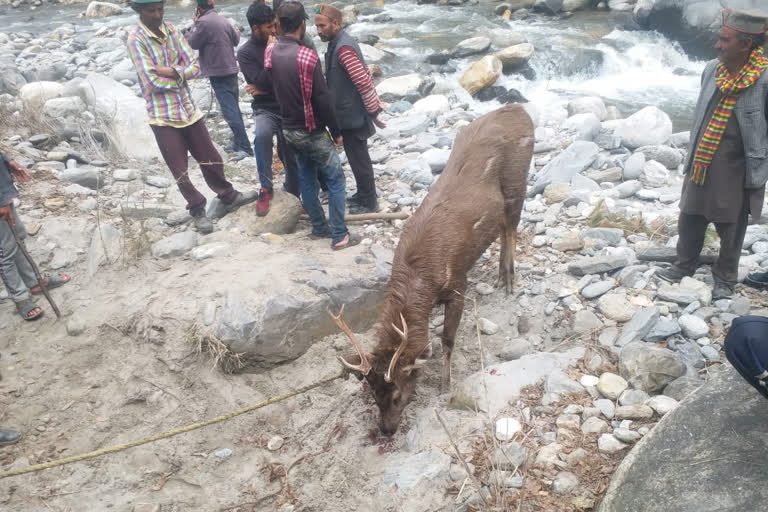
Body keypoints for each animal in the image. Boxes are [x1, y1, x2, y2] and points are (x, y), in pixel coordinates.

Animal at [330, 104, 536, 436]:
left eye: (397, 394)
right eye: (372, 394)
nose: (387, 430)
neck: (421, 278)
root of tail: (516, 108)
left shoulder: (458, 284)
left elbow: (447, 340)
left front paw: (445, 383)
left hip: (519, 177)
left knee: (512, 225)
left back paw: (508, 278)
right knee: (504, 225)